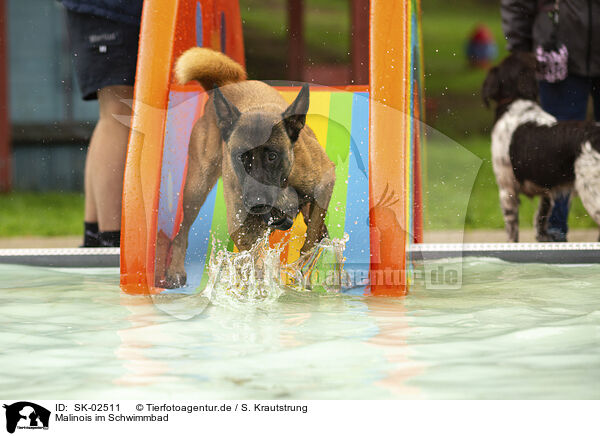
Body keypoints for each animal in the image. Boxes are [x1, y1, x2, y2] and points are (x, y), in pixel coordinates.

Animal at [162, 47, 336, 288]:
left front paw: (304, 268)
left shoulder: (324, 183)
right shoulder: (242, 227)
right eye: (240, 157)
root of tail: (228, 85)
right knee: (182, 233)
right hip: (196, 188)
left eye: (272, 156)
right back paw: (175, 270)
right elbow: (254, 258)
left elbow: (311, 237)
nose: (256, 202)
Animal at [482, 52, 600, 242]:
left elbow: (512, 233)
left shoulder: (507, 189)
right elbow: (541, 220)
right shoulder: (546, 189)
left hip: (592, 192)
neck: (517, 101)